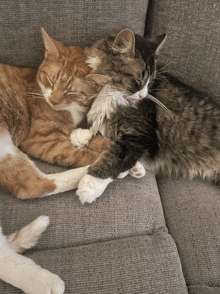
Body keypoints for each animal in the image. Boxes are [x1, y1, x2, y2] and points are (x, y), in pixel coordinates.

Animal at [0, 29, 109, 200]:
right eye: (50, 81)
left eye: (70, 91)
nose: (53, 100)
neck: (73, 109)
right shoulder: (45, 142)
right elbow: (81, 155)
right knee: (35, 185)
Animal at [74, 29, 220, 204]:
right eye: (138, 80)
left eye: (150, 82)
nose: (143, 96)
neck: (109, 90)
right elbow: (94, 116)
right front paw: (81, 133)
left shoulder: (141, 134)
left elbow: (115, 157)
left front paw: (90, 186)